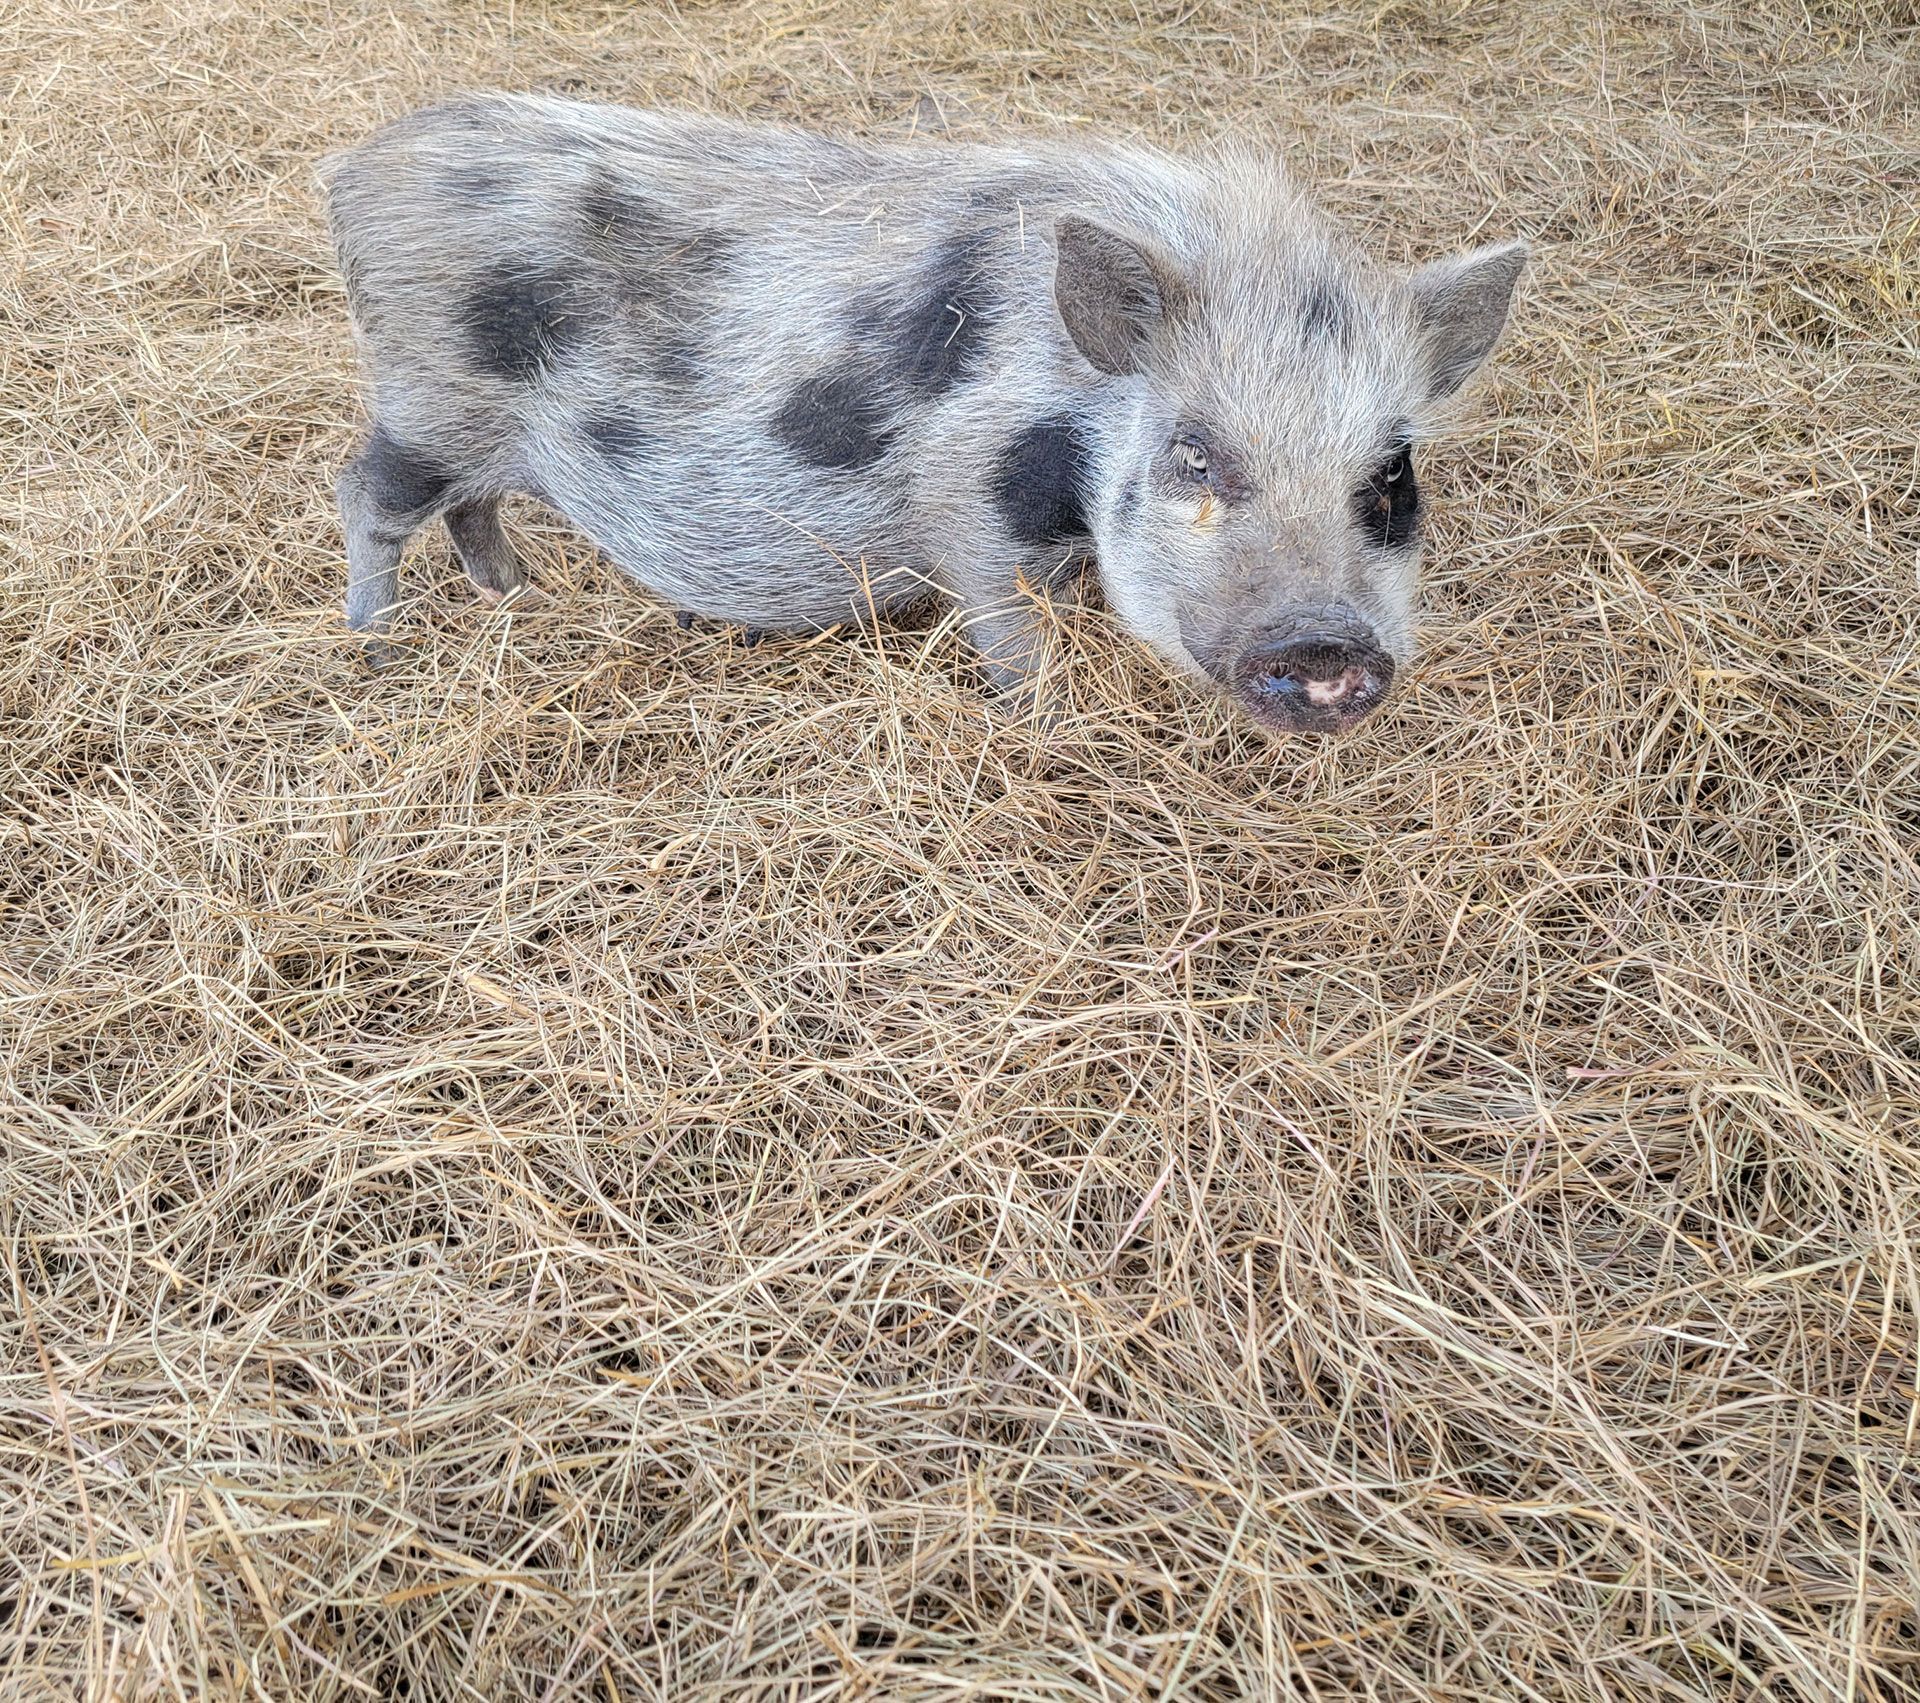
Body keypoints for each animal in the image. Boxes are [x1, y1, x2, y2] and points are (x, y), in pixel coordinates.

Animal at [320, 95, 1525, 733]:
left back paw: (514, 598)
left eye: (1391, 474)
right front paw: (1039, 723)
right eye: (1195, 455)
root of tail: (356, 169)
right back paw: (377, 645)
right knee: (365, 493)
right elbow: (1010, 630)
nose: (1326, 640)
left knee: (472, 509)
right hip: (425, 401)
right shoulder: (970, 505)